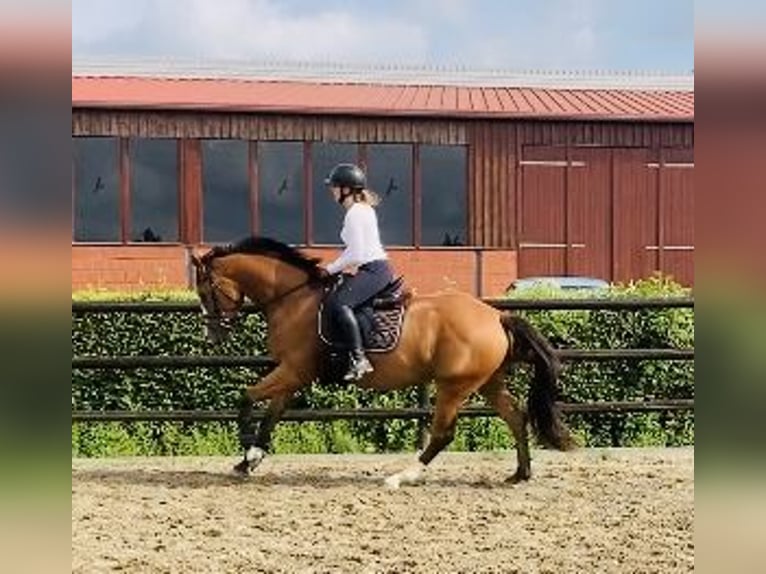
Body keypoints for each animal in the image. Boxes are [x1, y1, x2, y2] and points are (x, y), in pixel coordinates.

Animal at [192, 236, 576, 488]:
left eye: (205, 290)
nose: (213, 335)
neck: (293, 299)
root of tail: (496, 315)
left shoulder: (293, 371)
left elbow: (246, 398)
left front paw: (246, 452)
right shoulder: (292, 375)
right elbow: (271, 416)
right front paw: (250, 459)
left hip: (453, 386)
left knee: (442, 433)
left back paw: (401, 476)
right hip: (486, 382)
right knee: (515, 417)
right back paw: (520, 473)